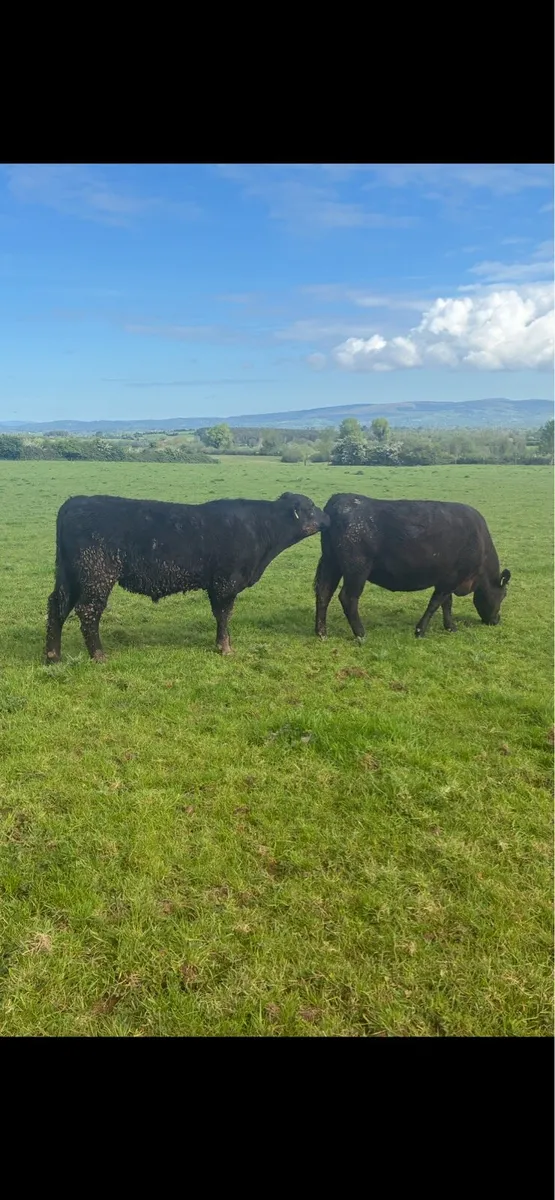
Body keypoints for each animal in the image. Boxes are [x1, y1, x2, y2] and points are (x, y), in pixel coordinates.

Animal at [45, 491, 330, 663]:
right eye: (311, 507)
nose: (328, 517)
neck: (261, 528)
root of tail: (75, 502)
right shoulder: (226, 583)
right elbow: (224, 615)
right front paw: (225, 648)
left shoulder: (218, 585)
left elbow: (220, 615)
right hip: (97, 576)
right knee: (88, 611)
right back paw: (99, 655)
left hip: (69, 576)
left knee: (57, 606)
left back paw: (53, 655)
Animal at [314, 493, 511, 641]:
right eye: (503, 596)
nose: (496, 620)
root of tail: (340, 499)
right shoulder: (451, 578)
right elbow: (435, 604)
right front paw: (420, 631)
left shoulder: (447, 579)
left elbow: (446, 604)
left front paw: (450, 627)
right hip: (357, 568)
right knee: (348, 598)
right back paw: (361, 634)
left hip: (331, 563)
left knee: (323, 593)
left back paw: (321, 633)